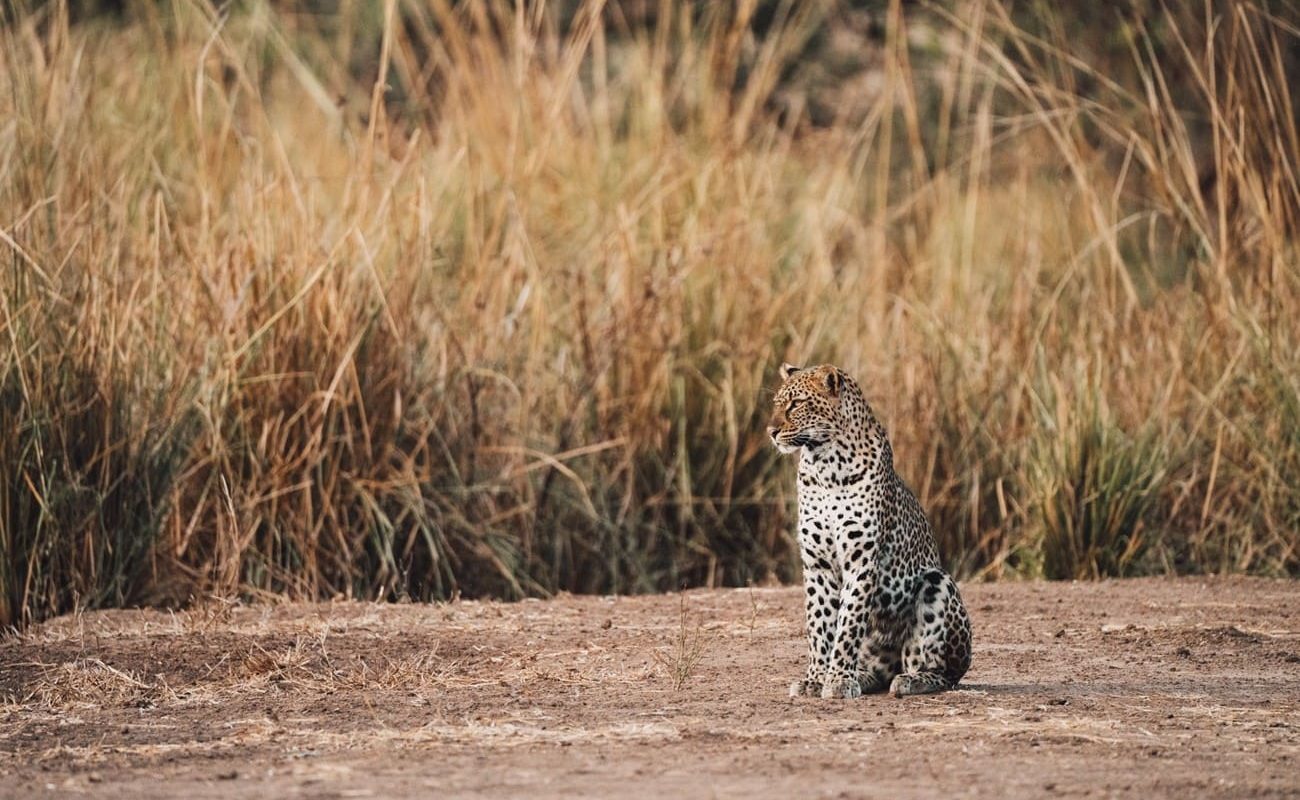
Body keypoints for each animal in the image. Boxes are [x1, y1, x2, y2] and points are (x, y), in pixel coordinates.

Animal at [768, 362, 972, 699]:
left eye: (796, 404)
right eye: (776, 404)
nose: (770, 432)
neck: (825, 466)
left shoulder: (861, 561)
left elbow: (848, 624)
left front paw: (838, 679)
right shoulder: (817, 563)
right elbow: (819, 625)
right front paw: (816, 679)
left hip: (938, 584)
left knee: (943, 672)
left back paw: (910, 680)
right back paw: (864, 676)